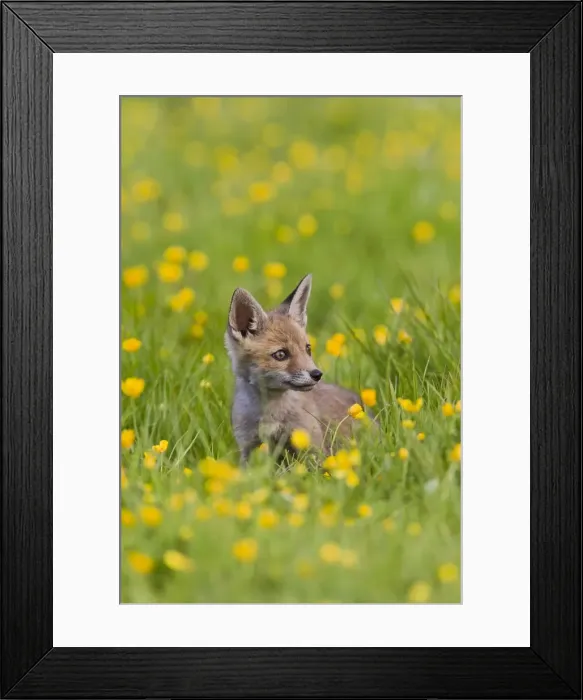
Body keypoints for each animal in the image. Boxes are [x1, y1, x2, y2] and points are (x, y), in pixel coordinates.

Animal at [225, 273, 362, 463]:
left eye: (308, 349)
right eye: (281, 354)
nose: (317, 374)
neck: (270, 413)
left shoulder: (311, 448)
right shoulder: (249, 446)